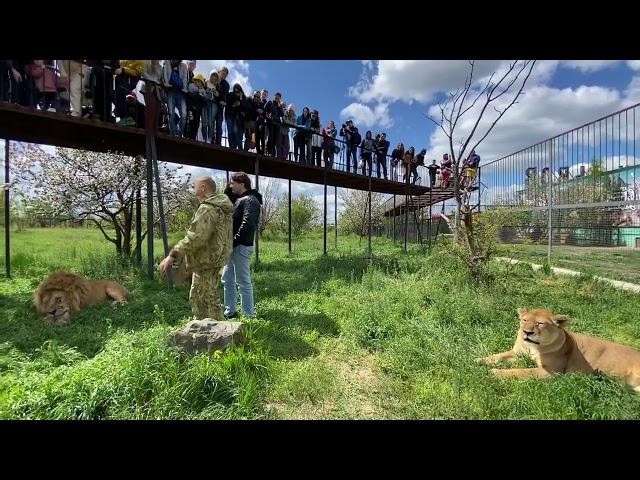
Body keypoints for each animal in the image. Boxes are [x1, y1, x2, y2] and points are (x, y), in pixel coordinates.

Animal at [476, 308, 640, 394]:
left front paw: (495, 373)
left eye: (540, 323)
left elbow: (521, 371)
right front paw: (480, 360)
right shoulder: (517, 353)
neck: (534, 347)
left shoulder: (551, 372)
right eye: (524, 320)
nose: (527, 332)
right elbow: (498, 356)